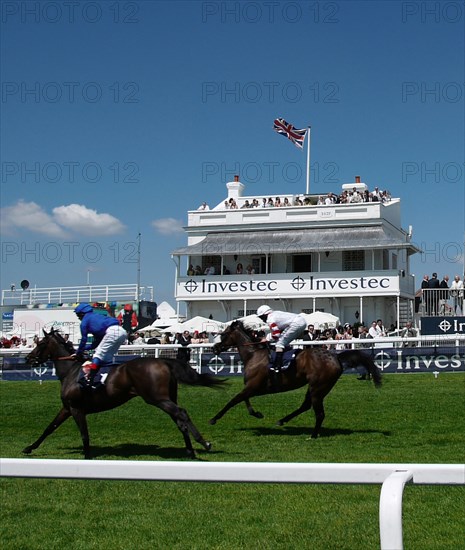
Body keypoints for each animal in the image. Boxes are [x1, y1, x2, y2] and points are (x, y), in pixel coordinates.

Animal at [24, 330, 226, 460]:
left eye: (40, 343)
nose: (28, 358)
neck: (71, 372)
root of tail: (163, 361)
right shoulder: (67, 408)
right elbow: (49, 428)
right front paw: (29, 447)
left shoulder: (76, 408)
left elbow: (84, 433)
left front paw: (87, 455)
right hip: (166, 397)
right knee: (179, 419)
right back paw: (190, 450)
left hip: (157, 398)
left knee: (181, 413)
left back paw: (203, 443)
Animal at [210, 324, 380, 440]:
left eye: (224, 334)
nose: (214, 348)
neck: (254, 356)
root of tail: (336, 357)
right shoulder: (252, 388)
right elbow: (244, 400)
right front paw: (256, 413)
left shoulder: (253, 387)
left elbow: (233, 400)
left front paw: (214, 418)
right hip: (316, 387)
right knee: (306, 405)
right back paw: (282, 421)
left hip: (318, 388)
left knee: (319, 413)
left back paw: (313, 435)